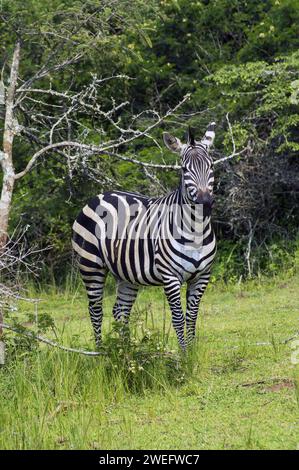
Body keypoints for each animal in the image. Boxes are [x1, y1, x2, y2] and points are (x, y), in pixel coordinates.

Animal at [72, 123, 218, 350]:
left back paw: (125, 352)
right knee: (96, 310)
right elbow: (178, 318)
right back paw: (101, 352)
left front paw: (193, 352)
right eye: (184, 170)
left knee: (120, 311)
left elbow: (192, 316)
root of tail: (100, 195)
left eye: (211, 166)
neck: (196, 231)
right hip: (90, 266)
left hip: (126, 273)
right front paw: (184, 355)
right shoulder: (170, 276)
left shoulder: (202, 276)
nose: (205, 203)